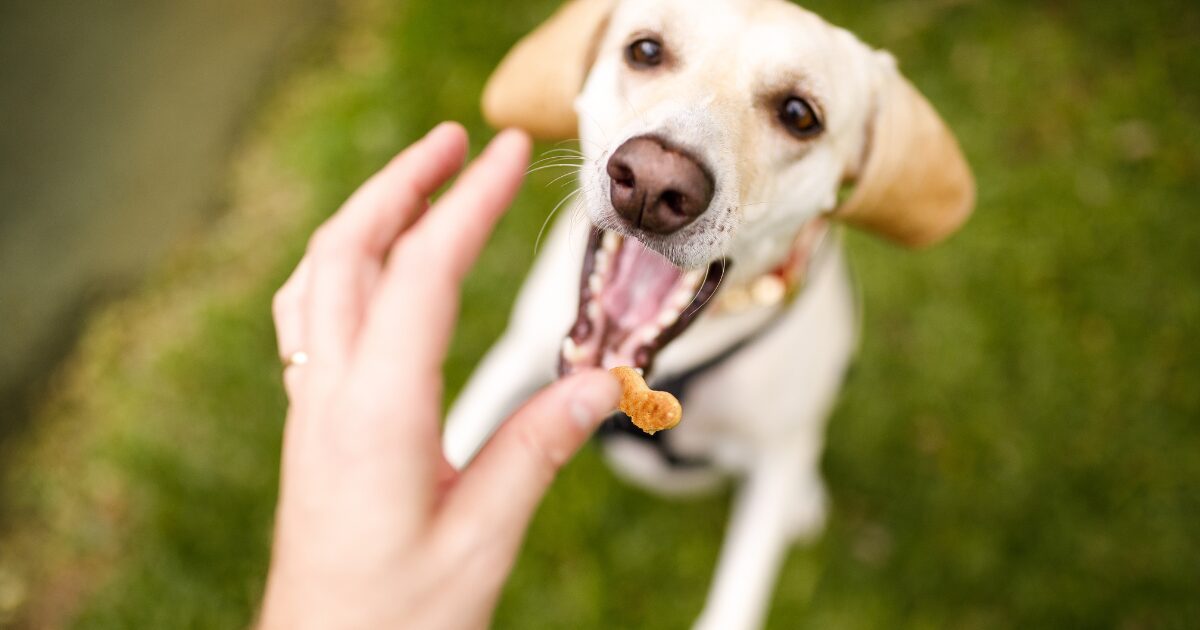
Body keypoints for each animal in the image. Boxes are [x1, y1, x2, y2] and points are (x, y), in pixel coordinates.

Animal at [441, 2, 974, 624]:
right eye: (645, 50)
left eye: (800, 114)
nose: (653, 183)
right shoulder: (513, 360)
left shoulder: (774, 460)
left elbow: (738, 600)